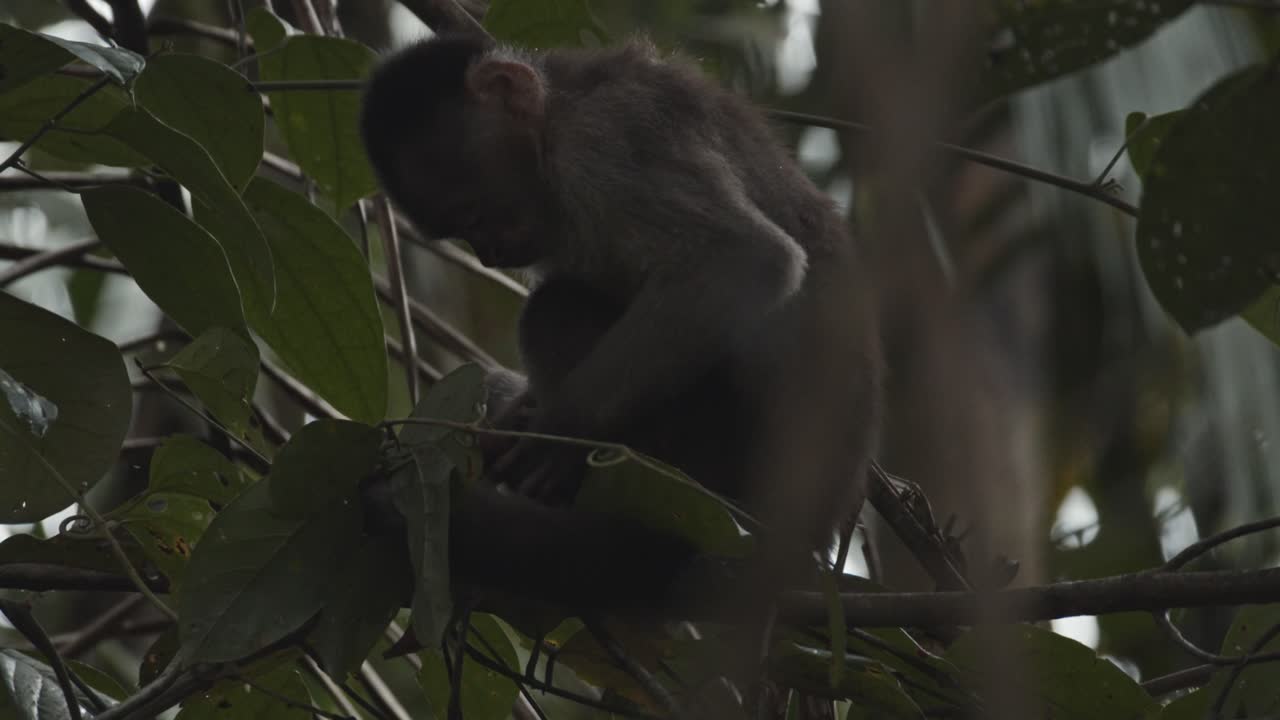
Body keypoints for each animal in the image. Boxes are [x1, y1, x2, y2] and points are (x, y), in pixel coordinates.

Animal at [359, 32, 882, 611]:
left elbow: (746, 258)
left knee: (554, 309)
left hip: (716, 454)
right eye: (462, 232)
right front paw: (518, 414)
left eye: (474, 213)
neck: (555, 114)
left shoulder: (605, 140)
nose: (489, 254)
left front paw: (562, 429)